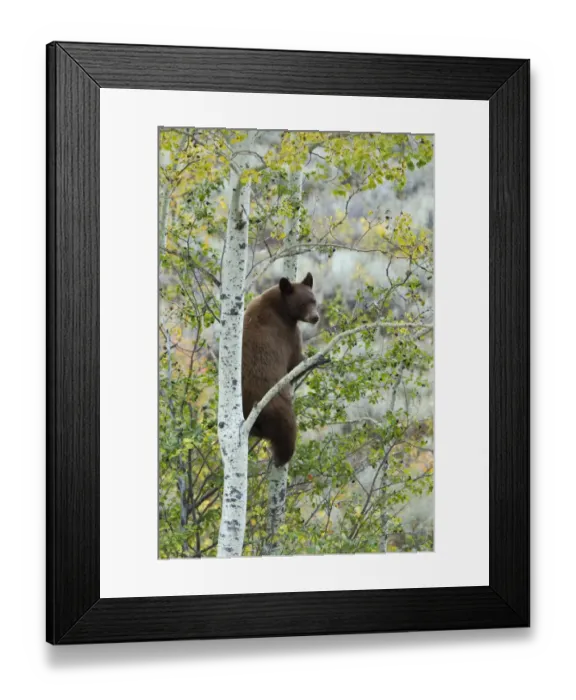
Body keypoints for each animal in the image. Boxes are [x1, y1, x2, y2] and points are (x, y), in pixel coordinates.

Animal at [242, 272, 319, 466]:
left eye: (314, 300)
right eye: (303, 303)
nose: (315, 317)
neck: (280, 307)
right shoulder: (287, 334)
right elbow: (295, 362)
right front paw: (313, 359)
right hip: (278, 407)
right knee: (288, 430)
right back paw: (281, 458)